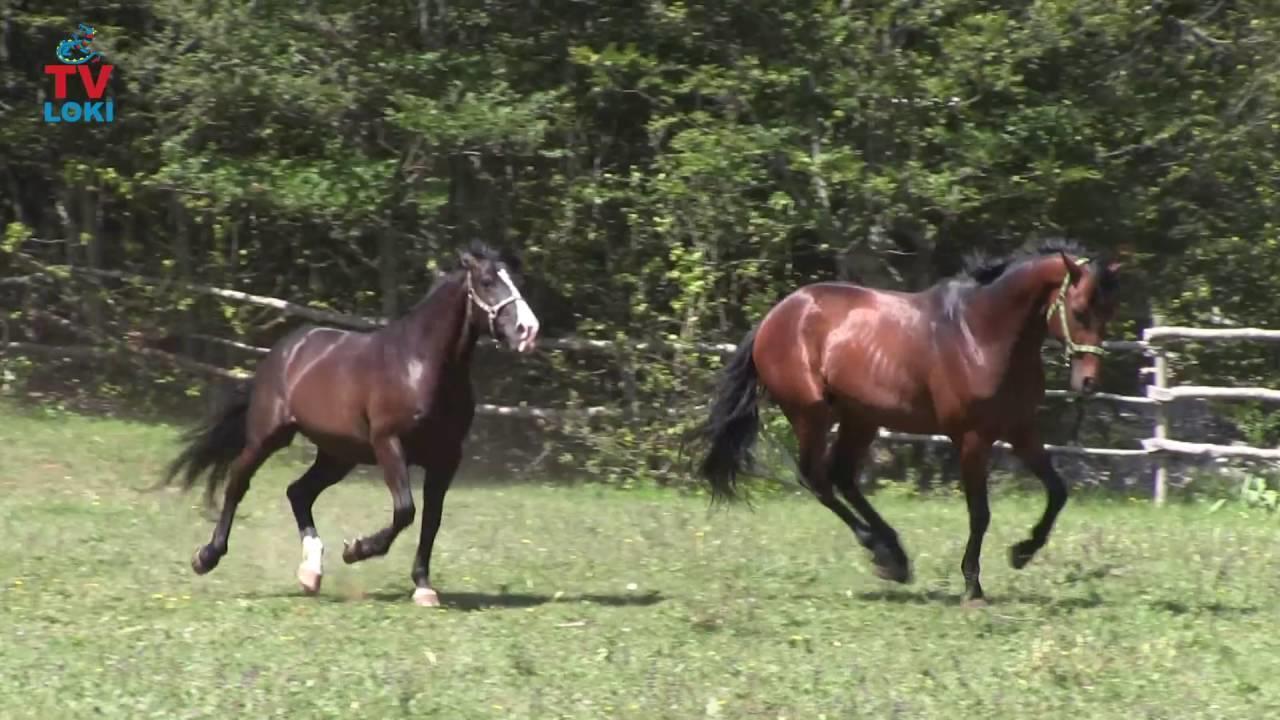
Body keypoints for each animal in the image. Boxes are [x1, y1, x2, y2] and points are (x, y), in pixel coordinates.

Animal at [162, 243, 537, 602]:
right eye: (487, 281)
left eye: (517, 280)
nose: (528, 330)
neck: (420, 364)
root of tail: (285, 350)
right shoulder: (389, 443)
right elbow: (406, 510)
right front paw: (356, 550)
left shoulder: (447, 457)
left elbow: (431, 519)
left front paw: (423, 586)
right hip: (268, 437)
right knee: (238, 482)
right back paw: (207, 556)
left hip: (338, 455)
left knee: (298, 492)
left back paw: (311, 573)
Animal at [691, 238, 1121, 602]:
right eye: (1079, 311)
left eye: (1109, 312)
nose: (1088, 382)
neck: (982, 335)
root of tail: (775, 316)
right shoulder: (972, 438)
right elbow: (980, 513)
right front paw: (973, 587)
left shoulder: (1021, 430)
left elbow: (1058, 492)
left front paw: (1022, 552)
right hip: (810, 415)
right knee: (816, 478)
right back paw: (882, 552)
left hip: (859, 419)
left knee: (842, 477)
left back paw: (893, 556)